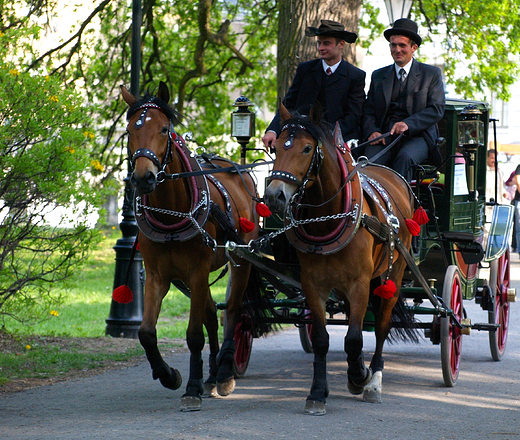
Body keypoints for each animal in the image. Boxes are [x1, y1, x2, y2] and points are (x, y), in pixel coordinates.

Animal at [121, 83, 260, 412]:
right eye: (131, 130)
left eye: (164, 129)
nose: (143, 178)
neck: (171, 211)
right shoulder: (158, 275)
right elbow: (146, 333)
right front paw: (169, 375)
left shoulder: (197, 271)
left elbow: (194, 334)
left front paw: (193, 387)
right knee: (210, 312)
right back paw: (212, 373)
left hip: (241, 260)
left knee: (233, 310)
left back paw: (224, 372)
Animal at [264, 104, 418, 416]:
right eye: (277, 146)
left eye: (306, 148)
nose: (274, 195)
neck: (330, 217)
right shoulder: (313, 284)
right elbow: (323, 339)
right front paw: (317, 392)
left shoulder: (359, 283)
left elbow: (355, 338)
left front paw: (360, 376)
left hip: (394, 273)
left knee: (381, 325)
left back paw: (374, 379)